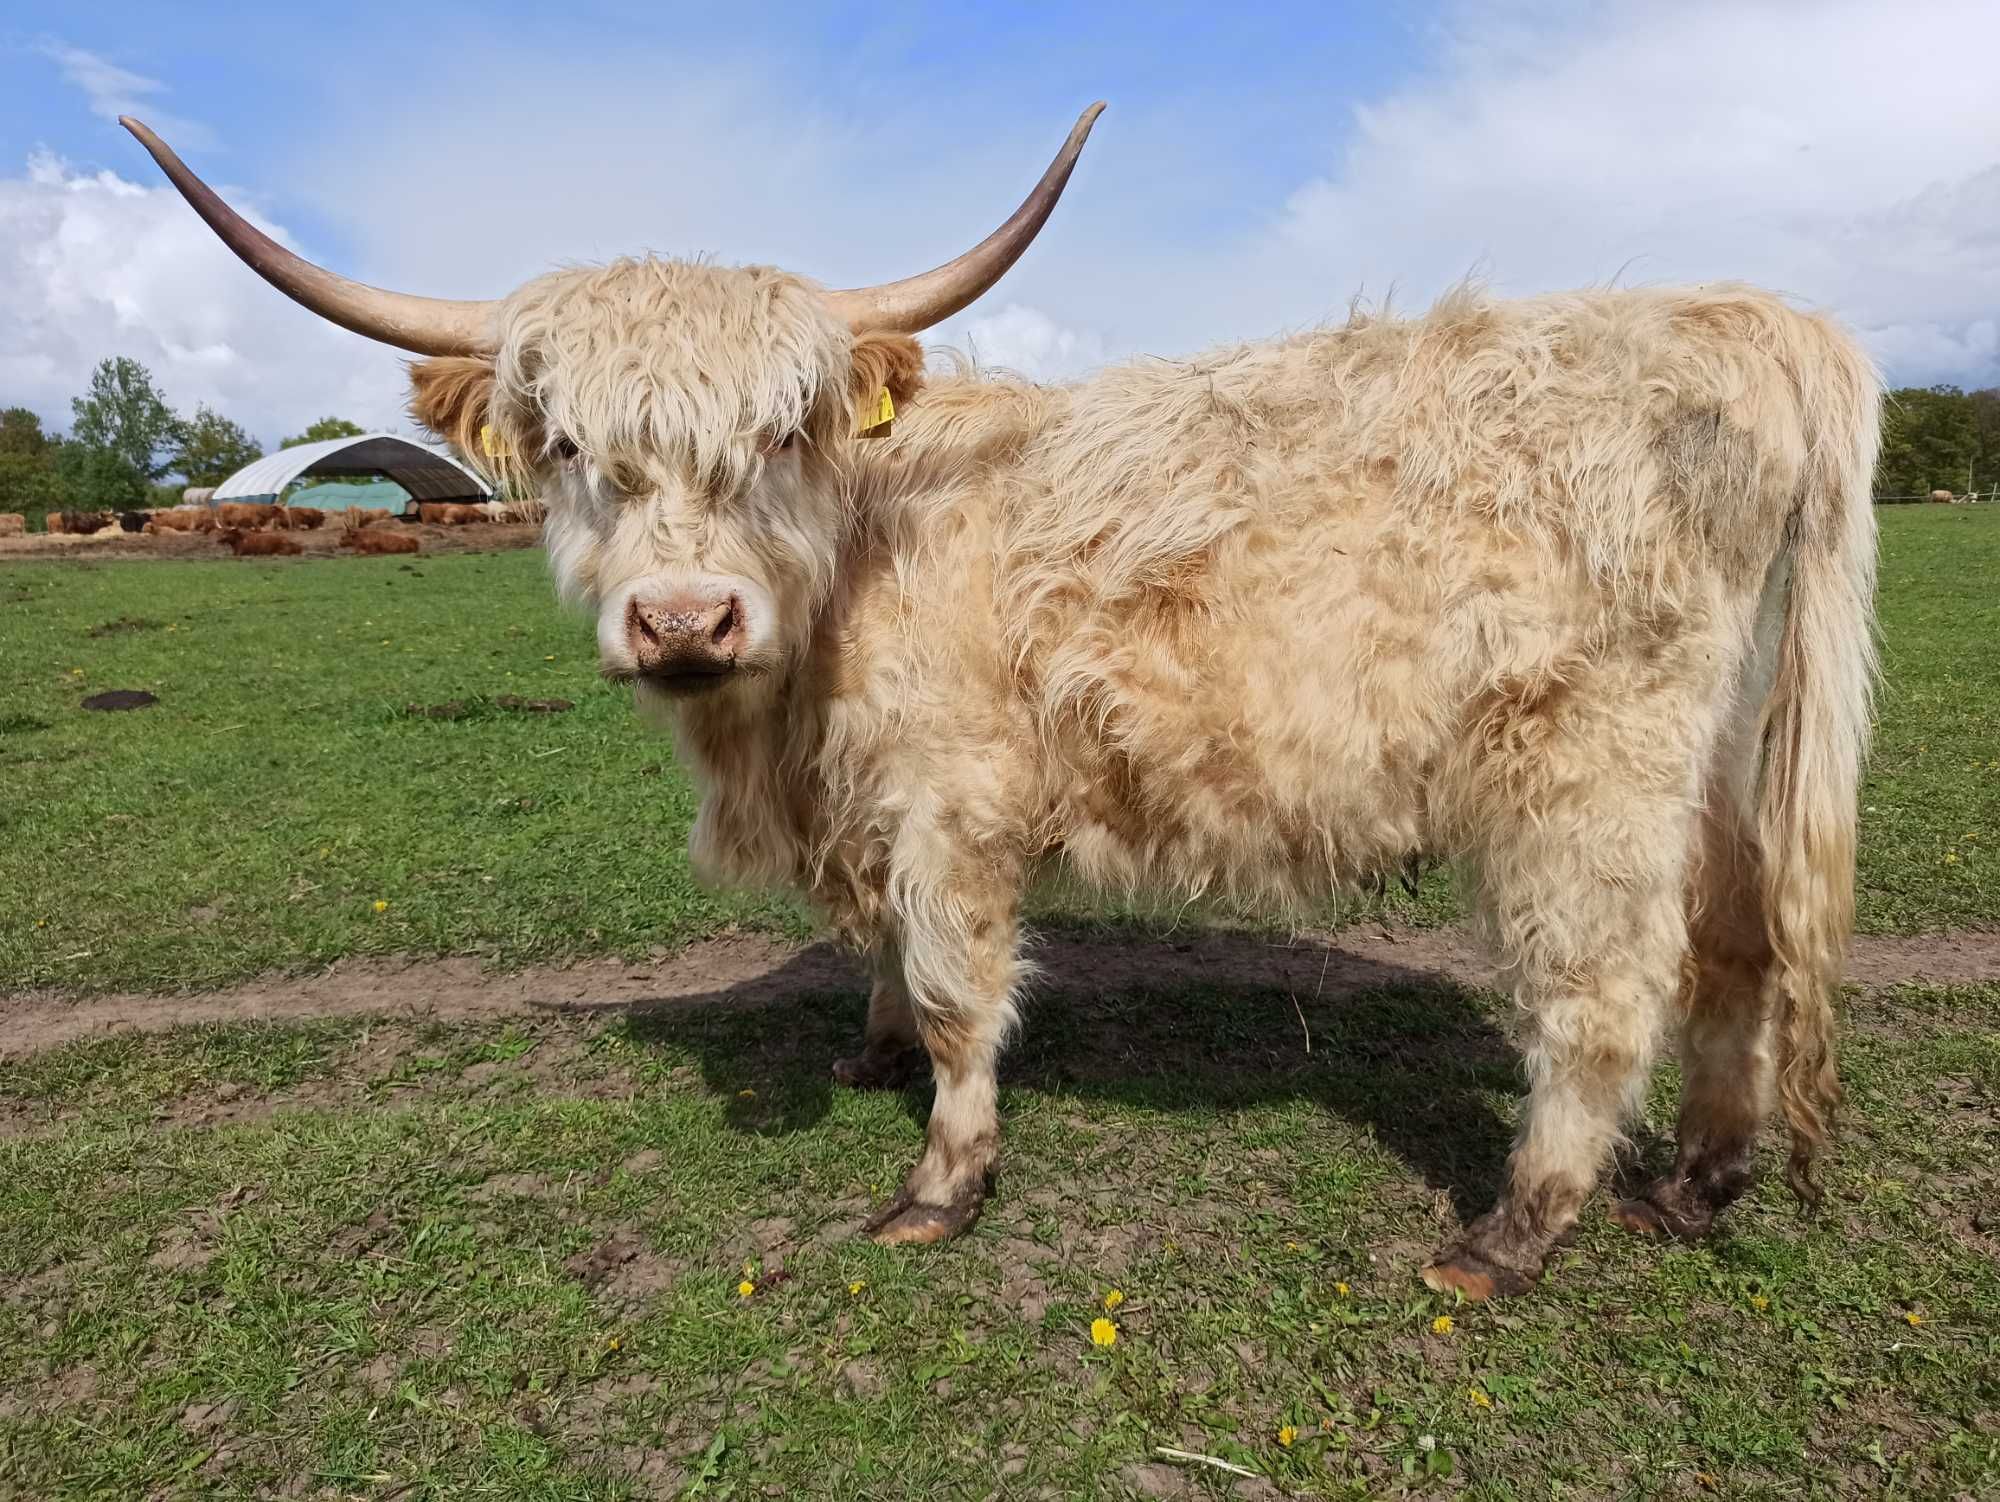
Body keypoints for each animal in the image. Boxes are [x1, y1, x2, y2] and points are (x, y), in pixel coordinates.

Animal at [133, 111, 1880, 1296]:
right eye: (566, 444)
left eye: (783, 433)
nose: (685, 617)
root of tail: (1758, 321)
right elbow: (881, 960)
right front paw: (869, 1053)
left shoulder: (950, 799)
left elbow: (960, 980)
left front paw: (940, 1176)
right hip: (1728, 758)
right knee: (1740, 948)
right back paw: (1696, 1182)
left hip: (1590, 775)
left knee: (1606, 992)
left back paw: (1512, 1232)